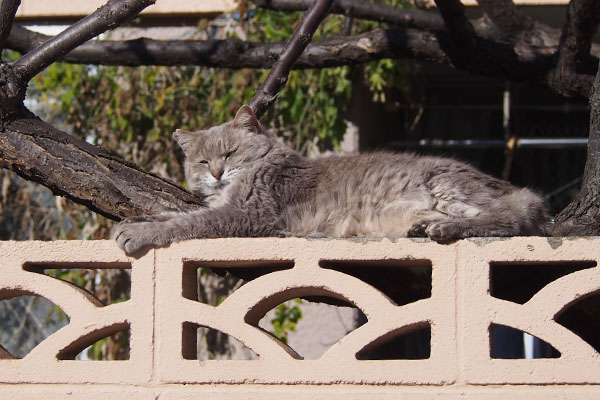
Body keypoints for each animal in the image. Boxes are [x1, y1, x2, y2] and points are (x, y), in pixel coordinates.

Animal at [112, 104, 548, 253]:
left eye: (230, 153)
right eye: (203, 161)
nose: (218, 172)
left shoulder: (248, 213)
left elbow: (188, 222)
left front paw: (139, 232)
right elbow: (175, 215)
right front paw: (140, 219)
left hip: (446, 184)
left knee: (509, 218)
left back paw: (444, 228)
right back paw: (423, 226)